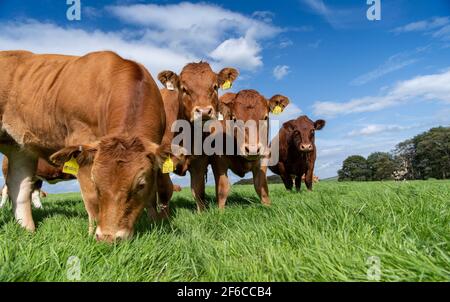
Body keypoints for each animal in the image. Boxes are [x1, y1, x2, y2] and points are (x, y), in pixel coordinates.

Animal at [0, 50, 180, 242]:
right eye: (97, 183)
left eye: (141, 185)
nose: (109, 237)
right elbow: (91, 199)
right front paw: (92, 234)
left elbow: (157, 194)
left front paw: (157, 224)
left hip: (19, 148)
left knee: (20, 185)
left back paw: (27, 232)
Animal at [158, 62, 239, 211]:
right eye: (184, 89)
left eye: (215, 86)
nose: (204, 111)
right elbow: (164, 192)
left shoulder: (199, 163)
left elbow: (198, 191)